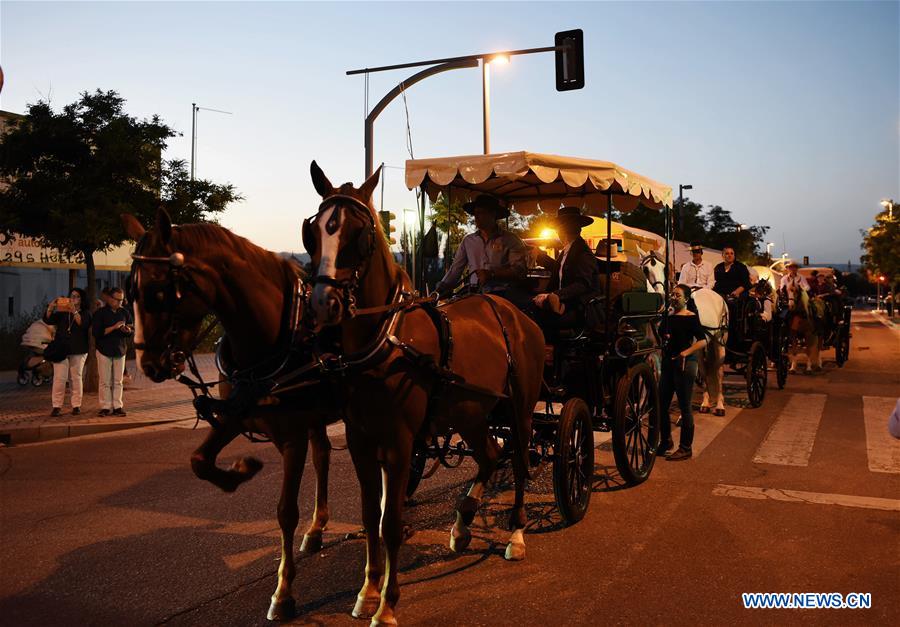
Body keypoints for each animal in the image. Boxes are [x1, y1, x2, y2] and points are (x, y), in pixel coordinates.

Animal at [123, 210, 338, 620]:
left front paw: (283, 592)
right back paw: (317, 528)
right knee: (323, 455)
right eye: (129, 292)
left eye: (158, 292)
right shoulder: (236, 416)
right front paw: (239, 472)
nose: (148, 364)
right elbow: (198, 461)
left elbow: (285, 511)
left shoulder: (292, 437)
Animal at [302, 163, 544, 627]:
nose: (324, 305)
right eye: (313, 231)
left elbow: (391, 523)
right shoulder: (361, 441)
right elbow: (370, 516)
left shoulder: (399, 443)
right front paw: (367, 591)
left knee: (520, 462)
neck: (385, 339)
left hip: (520, 408)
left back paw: (517, 536)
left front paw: (387, 605)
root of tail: (516, 313)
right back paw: (462, 524)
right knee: (490, 455)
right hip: (471, 412)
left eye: (358, 234)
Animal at [636, 245, 728, 418]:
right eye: (645, 269)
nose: (661, 296)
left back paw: (719, 405)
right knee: (704, 370)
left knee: (718, 371)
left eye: (665, 268)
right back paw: (705, 403)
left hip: (719, 341)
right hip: (701, 346)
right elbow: (659, 377)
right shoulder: (657, 353)